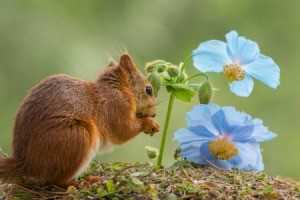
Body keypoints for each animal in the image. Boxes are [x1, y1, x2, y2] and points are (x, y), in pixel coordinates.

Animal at [0, 53, 159, 186]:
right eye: (149, 90)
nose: (154, 114)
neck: (120, 89)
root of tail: (27, 163)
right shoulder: (116, 106)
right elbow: (123, 130)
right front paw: (150, 124)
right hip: (77, 137)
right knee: (54, 181)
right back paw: (80, 182)